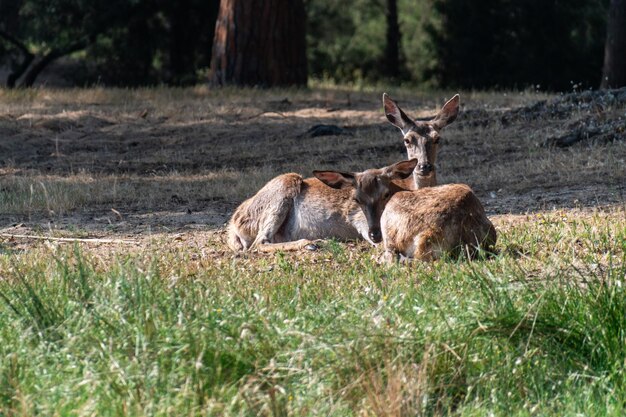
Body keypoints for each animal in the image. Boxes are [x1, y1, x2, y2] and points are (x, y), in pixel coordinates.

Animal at [225, 158, 420, 250]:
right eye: (356, 199)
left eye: (386, 194)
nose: (375, 234)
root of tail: (233, 224)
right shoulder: (357, 218)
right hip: (284, 185)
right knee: (259, 242)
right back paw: (313, 243)